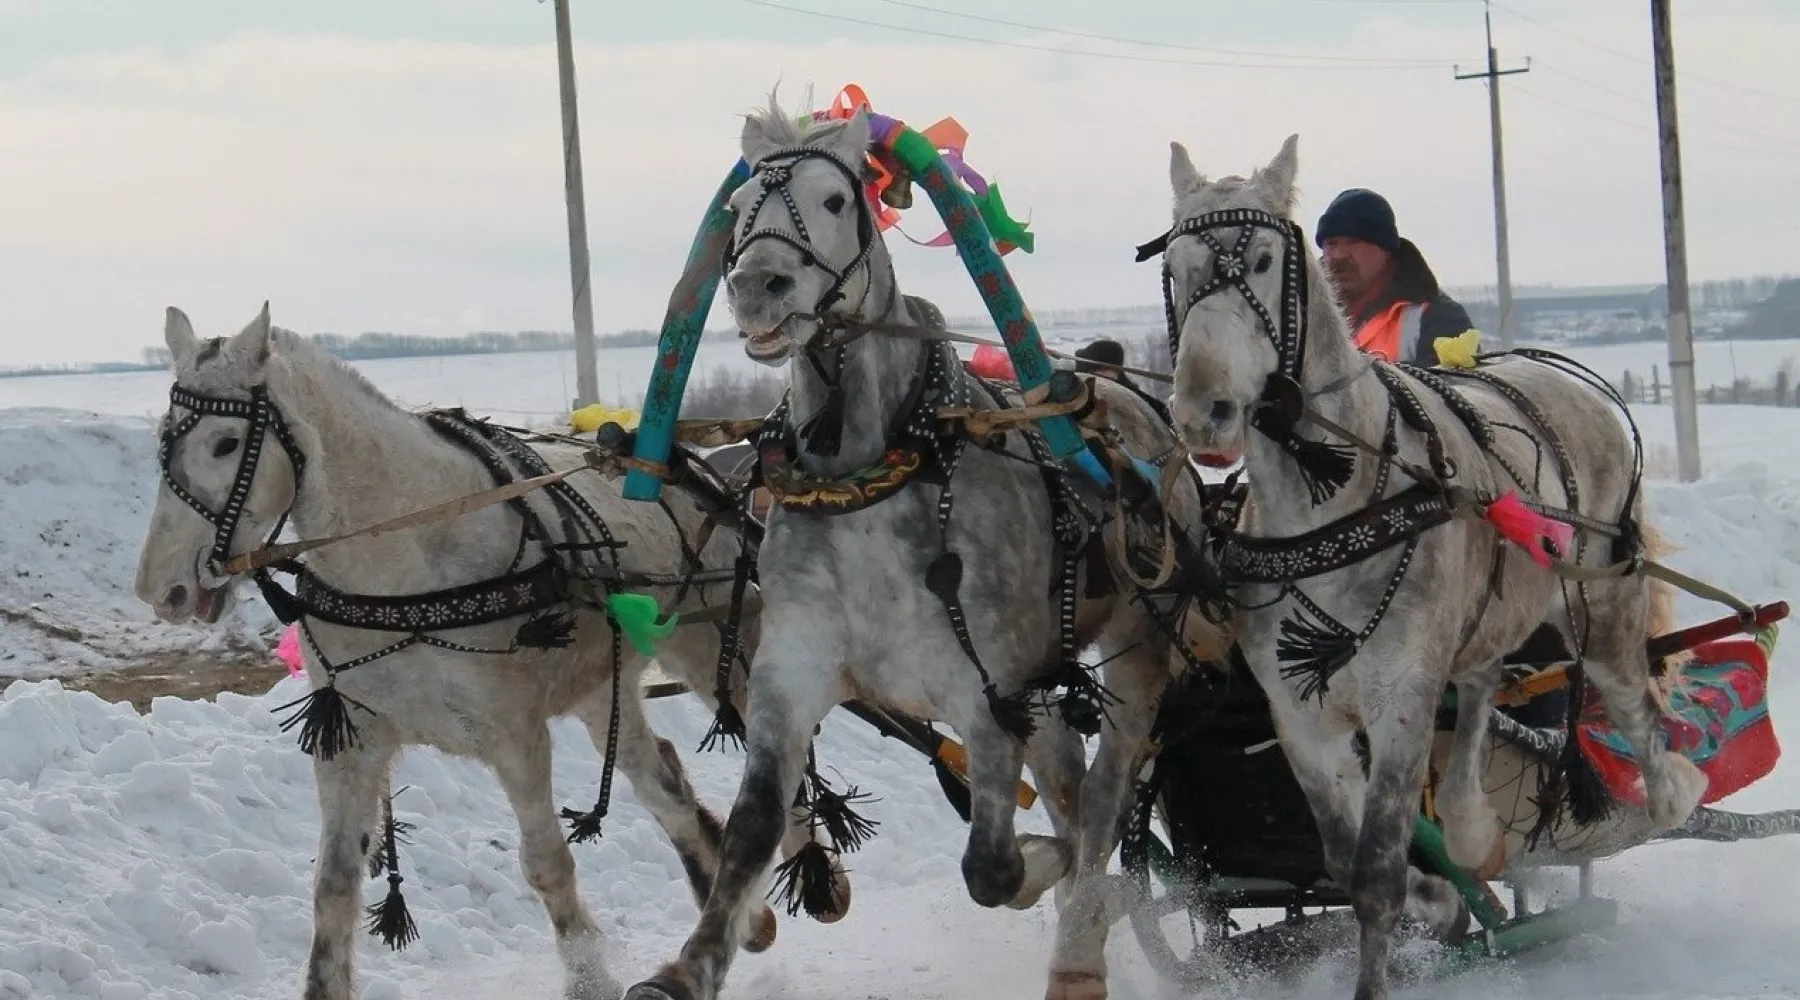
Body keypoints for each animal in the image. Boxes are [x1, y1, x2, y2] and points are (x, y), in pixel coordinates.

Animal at [133, 303, 849, 1000]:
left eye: (227, 443)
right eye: (163, 439)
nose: (160, 589)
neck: (407, 561)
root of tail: (687, 467)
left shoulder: (515, 734)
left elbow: (546, 863)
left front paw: (590, 978)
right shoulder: (351, 738)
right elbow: (333, 883)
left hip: (713, 646)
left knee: (774, 760)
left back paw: (814, 872)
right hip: (602, 684)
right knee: (662, 777)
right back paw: (742, 912)